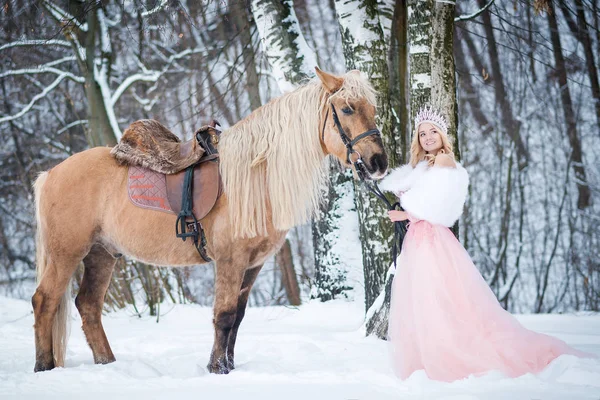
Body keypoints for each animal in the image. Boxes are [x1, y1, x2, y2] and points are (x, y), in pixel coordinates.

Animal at [30, 66, 390, 376]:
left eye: (373, 108)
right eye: (347, 109)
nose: (378, 162)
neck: (254, 175)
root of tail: (50, 174)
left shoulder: (253, 264)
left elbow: (238, 318)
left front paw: (228, 366)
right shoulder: (231, 259)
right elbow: (224, 316)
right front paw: (217, 369)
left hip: (102, 254)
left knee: (88, 305)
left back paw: (108, 363)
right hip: (66, 254)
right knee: (44, 301)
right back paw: (45, 366)